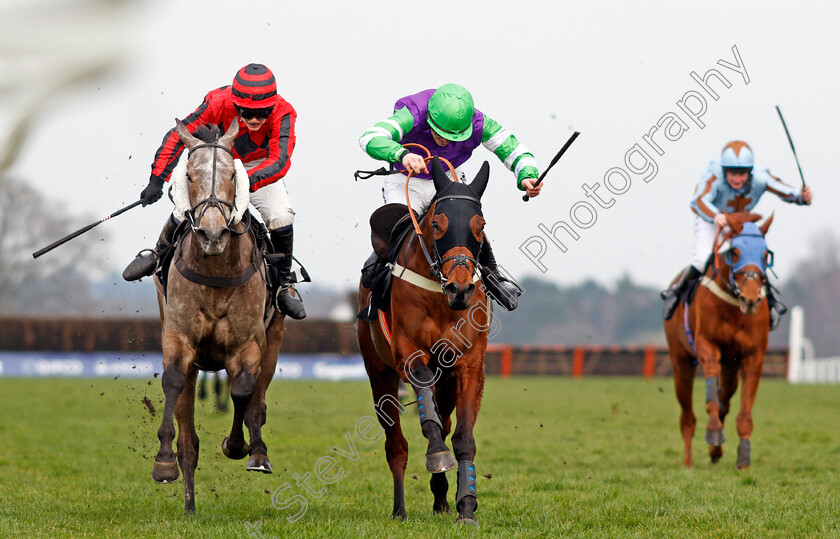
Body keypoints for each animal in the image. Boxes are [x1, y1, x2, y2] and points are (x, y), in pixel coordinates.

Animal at [149, 120, 284, 512]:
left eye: (233, 176)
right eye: (189, 175)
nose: (212, 233)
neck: (216, 270)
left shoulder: (247, 344)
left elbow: (243, 389)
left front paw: (239, 446)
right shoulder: (178, 339)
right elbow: (173, 383)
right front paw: (164, 462)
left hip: (274, 338)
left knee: (258, 395)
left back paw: (258, 451)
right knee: (189, 438)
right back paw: (190, 503)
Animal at [356, 156, 492, 524]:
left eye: (480, 225)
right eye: (437, 224)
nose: (460, 288)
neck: (440, 299)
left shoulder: (469, 365)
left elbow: (463, 437)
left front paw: (466, 506)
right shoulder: (409, 354)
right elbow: (426, 417)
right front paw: (436, 455)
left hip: (445, 382)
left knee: (444, 423)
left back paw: (441, 499)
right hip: (379, 375)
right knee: (396, 446)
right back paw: (400, 510)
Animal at [668, 213, 776, 470]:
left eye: (765, 254)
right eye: (735, 252)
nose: (750, 298)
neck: (734, 306)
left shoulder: (753, 357)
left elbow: (742, 413)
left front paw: (743, 460)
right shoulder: (707, 347)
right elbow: (711, 401)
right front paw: (714, 433)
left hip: (731, 367)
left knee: (725, 399)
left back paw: (715, 453)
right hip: (681, 362)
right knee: (688, 417)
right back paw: (688, 463)